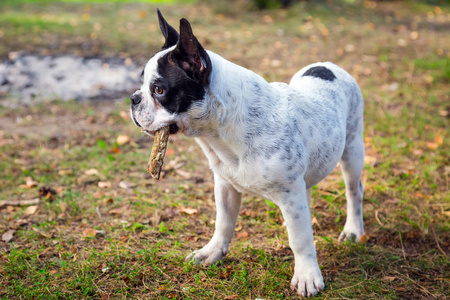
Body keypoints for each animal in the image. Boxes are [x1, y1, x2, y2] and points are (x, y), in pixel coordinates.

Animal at [131, 9, 366, 298]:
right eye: (141, 84)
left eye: (159, 90)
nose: (133, 98)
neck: (219, 132)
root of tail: (329, 66)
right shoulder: (225, 186)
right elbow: (223, 223)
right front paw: (211, 253)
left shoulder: (290, 192)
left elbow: (300, 240)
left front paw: (307, 276)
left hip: (352, 150)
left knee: (354, 191)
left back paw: (353, 230)